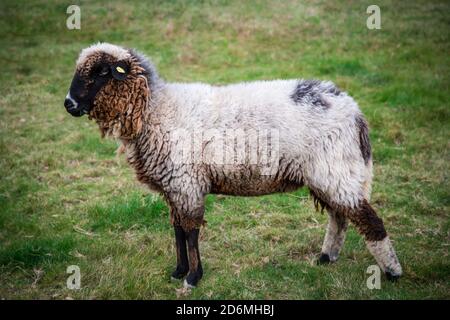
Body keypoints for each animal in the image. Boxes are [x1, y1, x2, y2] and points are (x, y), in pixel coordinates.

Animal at [64, 41, 404, 288]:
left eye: (100, 72)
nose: (69, 104)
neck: (156, 108)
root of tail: (354, 110)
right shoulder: (175, 186)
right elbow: (177, 230)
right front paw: (178, 271)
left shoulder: (187, 182)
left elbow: (190, 232)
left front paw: (192, 278)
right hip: (328, 172)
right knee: (339, 216)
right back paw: (326, 257)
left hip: (337, 168)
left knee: (369, 221)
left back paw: (392, 272)